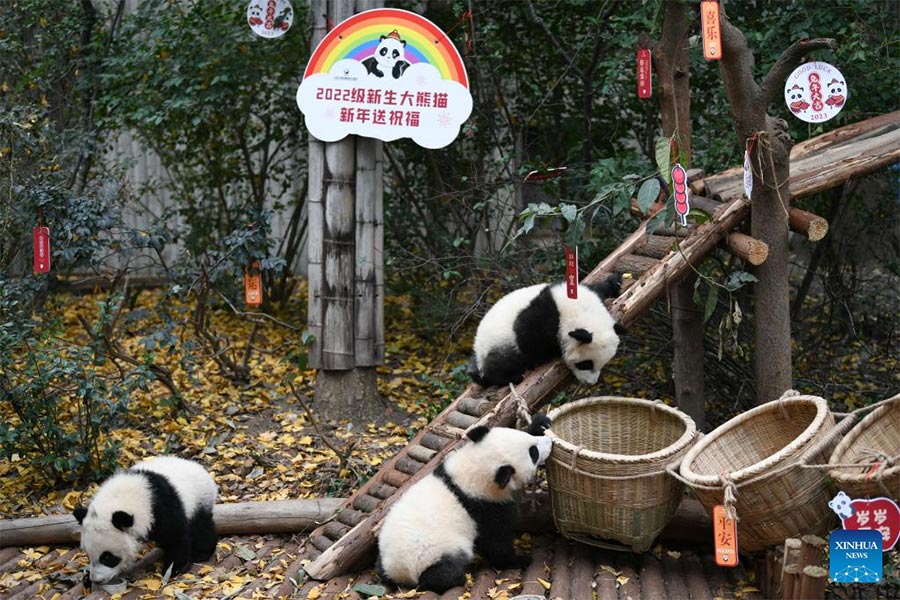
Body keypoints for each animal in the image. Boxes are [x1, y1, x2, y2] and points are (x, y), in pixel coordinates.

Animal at [73, 455, 218, 585]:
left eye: (107, 558)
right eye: (88, 555)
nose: (97, 580)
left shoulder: (161, 507)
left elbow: (175, 536)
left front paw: (174, 568)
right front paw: (86, 578)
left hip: (199, 498)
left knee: (201, 526)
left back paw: (201, 553)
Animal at [377, 416, 552, 593]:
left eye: (527, 439)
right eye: (534, 453)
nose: (549, 442)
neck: (470, 473)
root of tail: (399, 571)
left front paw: (540, 423)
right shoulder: (485, 507)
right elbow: (496, 541)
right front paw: (519, 560)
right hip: (436, 551)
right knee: (442, 571)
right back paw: (455, 578)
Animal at [469, 274, 623, 388]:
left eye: (603, 364)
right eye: (585, 364)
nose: (590, 383)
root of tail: (477, 347)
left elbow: (600, 289)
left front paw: (615, 282)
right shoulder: (543, 316)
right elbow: (529, 339)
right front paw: (549, 353)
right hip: (498, 343)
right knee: (502, 363)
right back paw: (510, 377)